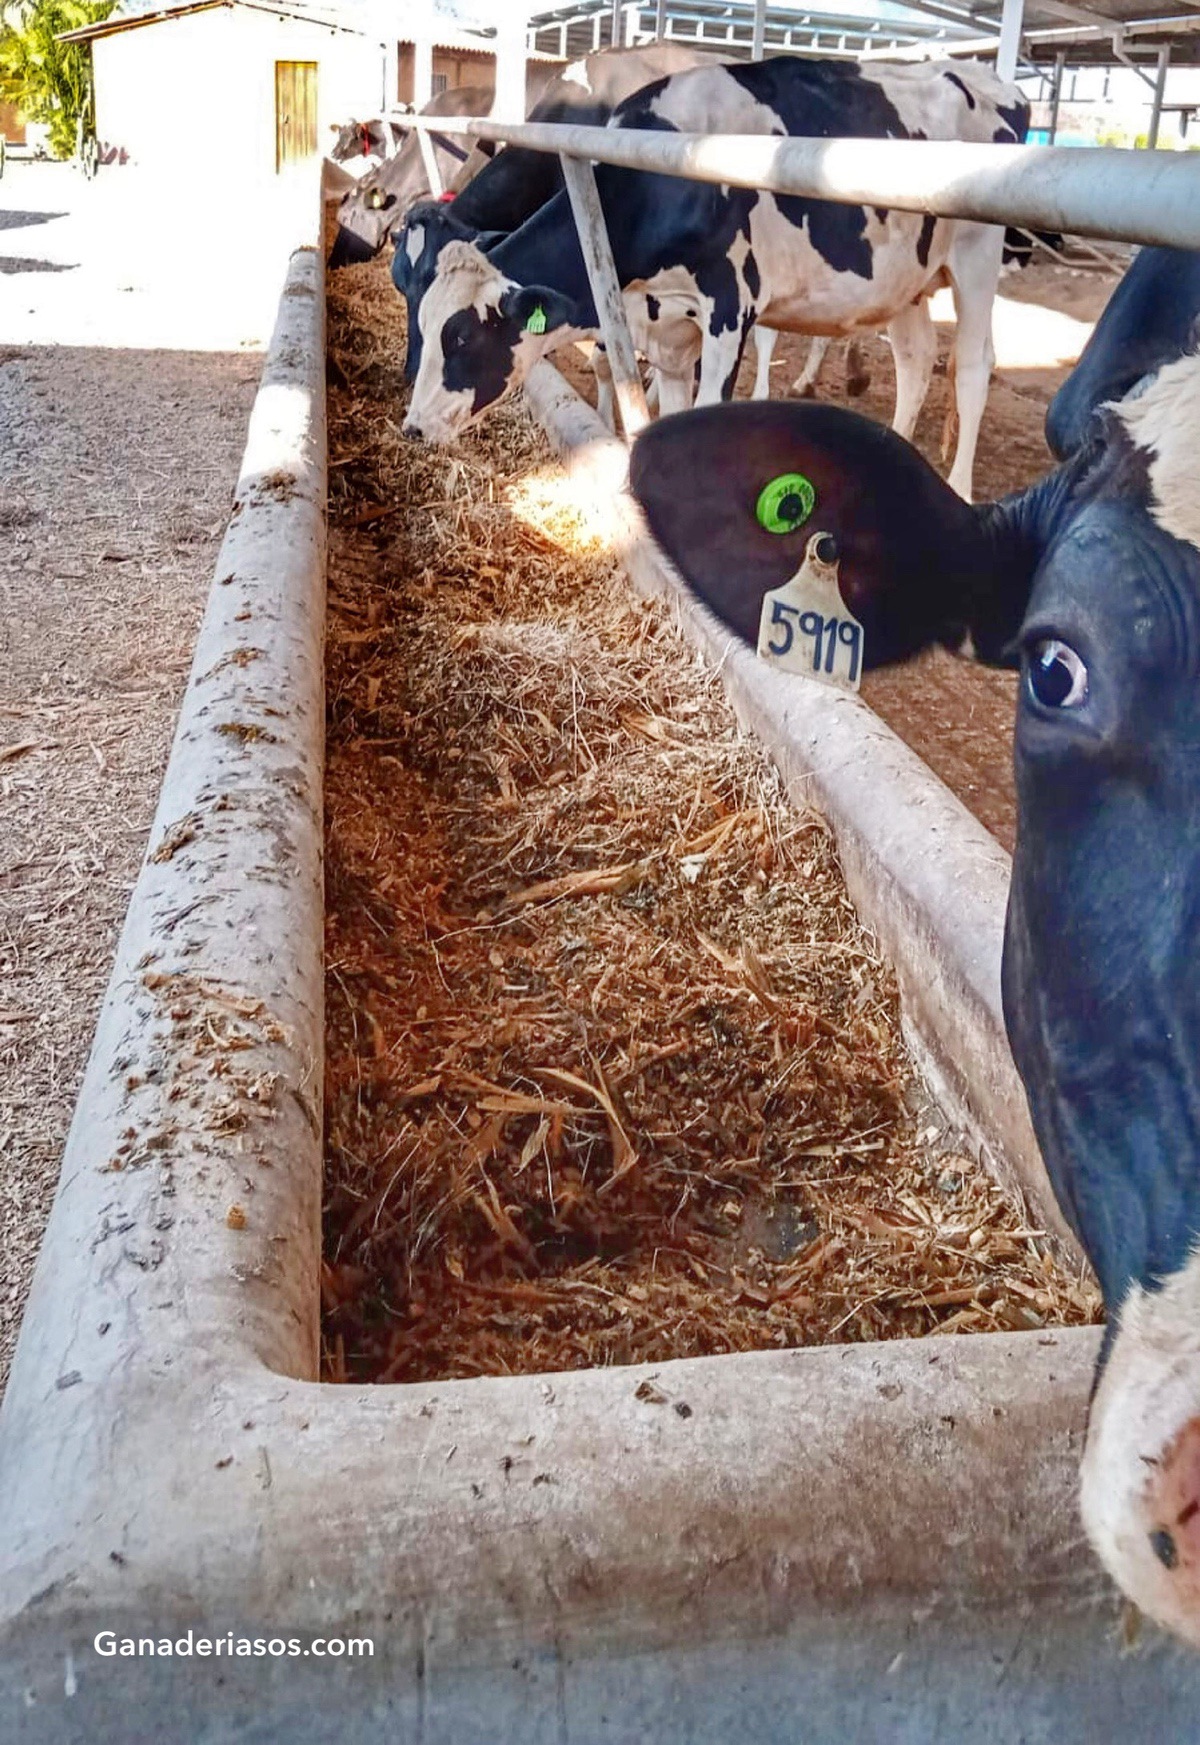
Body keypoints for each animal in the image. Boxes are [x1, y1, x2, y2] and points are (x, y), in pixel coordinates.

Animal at [402, 57, 1028, 502]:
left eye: (460, 336)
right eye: (420, 313)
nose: (411, 426)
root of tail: (990, 77)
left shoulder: (731, 306)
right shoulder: (667, 329)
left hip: (977, 255)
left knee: (973, 367)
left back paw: (959, 488)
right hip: (905, 279)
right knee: (914, 360)